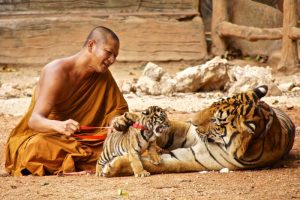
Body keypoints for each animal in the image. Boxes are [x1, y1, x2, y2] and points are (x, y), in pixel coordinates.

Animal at [101, 85, 296, 177]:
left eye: (216, 120)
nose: (193, 122)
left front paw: (111, 168)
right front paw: (124, 121)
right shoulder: (187, 132)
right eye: (213, 103)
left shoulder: (195, 158)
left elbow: (148, 162)